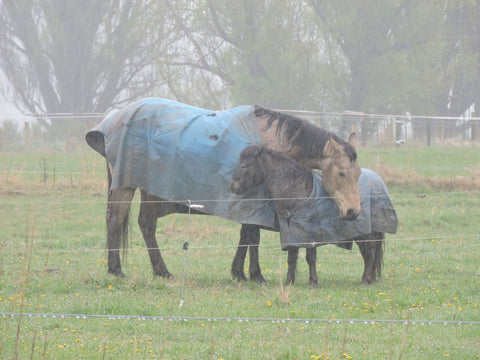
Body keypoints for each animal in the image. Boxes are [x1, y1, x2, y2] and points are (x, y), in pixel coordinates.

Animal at [86, 98, 362, 282]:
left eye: (358, 174)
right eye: (341, 173)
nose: (353, 212)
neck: (268, 142)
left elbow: (246, 236)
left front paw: (239, 272)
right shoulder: (252, 201)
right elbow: (252, 236)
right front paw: (254, 275)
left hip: (152, 190)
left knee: (146, 225)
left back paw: (161, 271)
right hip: (126, 186)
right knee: (115, 220)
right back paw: (117, 270)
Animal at [231, 145, 396, 286]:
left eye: (244, 165)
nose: (233, 186)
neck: (297, 187)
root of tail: (378, 182)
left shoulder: (310, 233)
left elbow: (310, 257)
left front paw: (313, 282)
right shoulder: (292, 230)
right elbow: (292, 257)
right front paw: (289, 282)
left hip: (364, 234)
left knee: (369, 254)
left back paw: (365, 280)